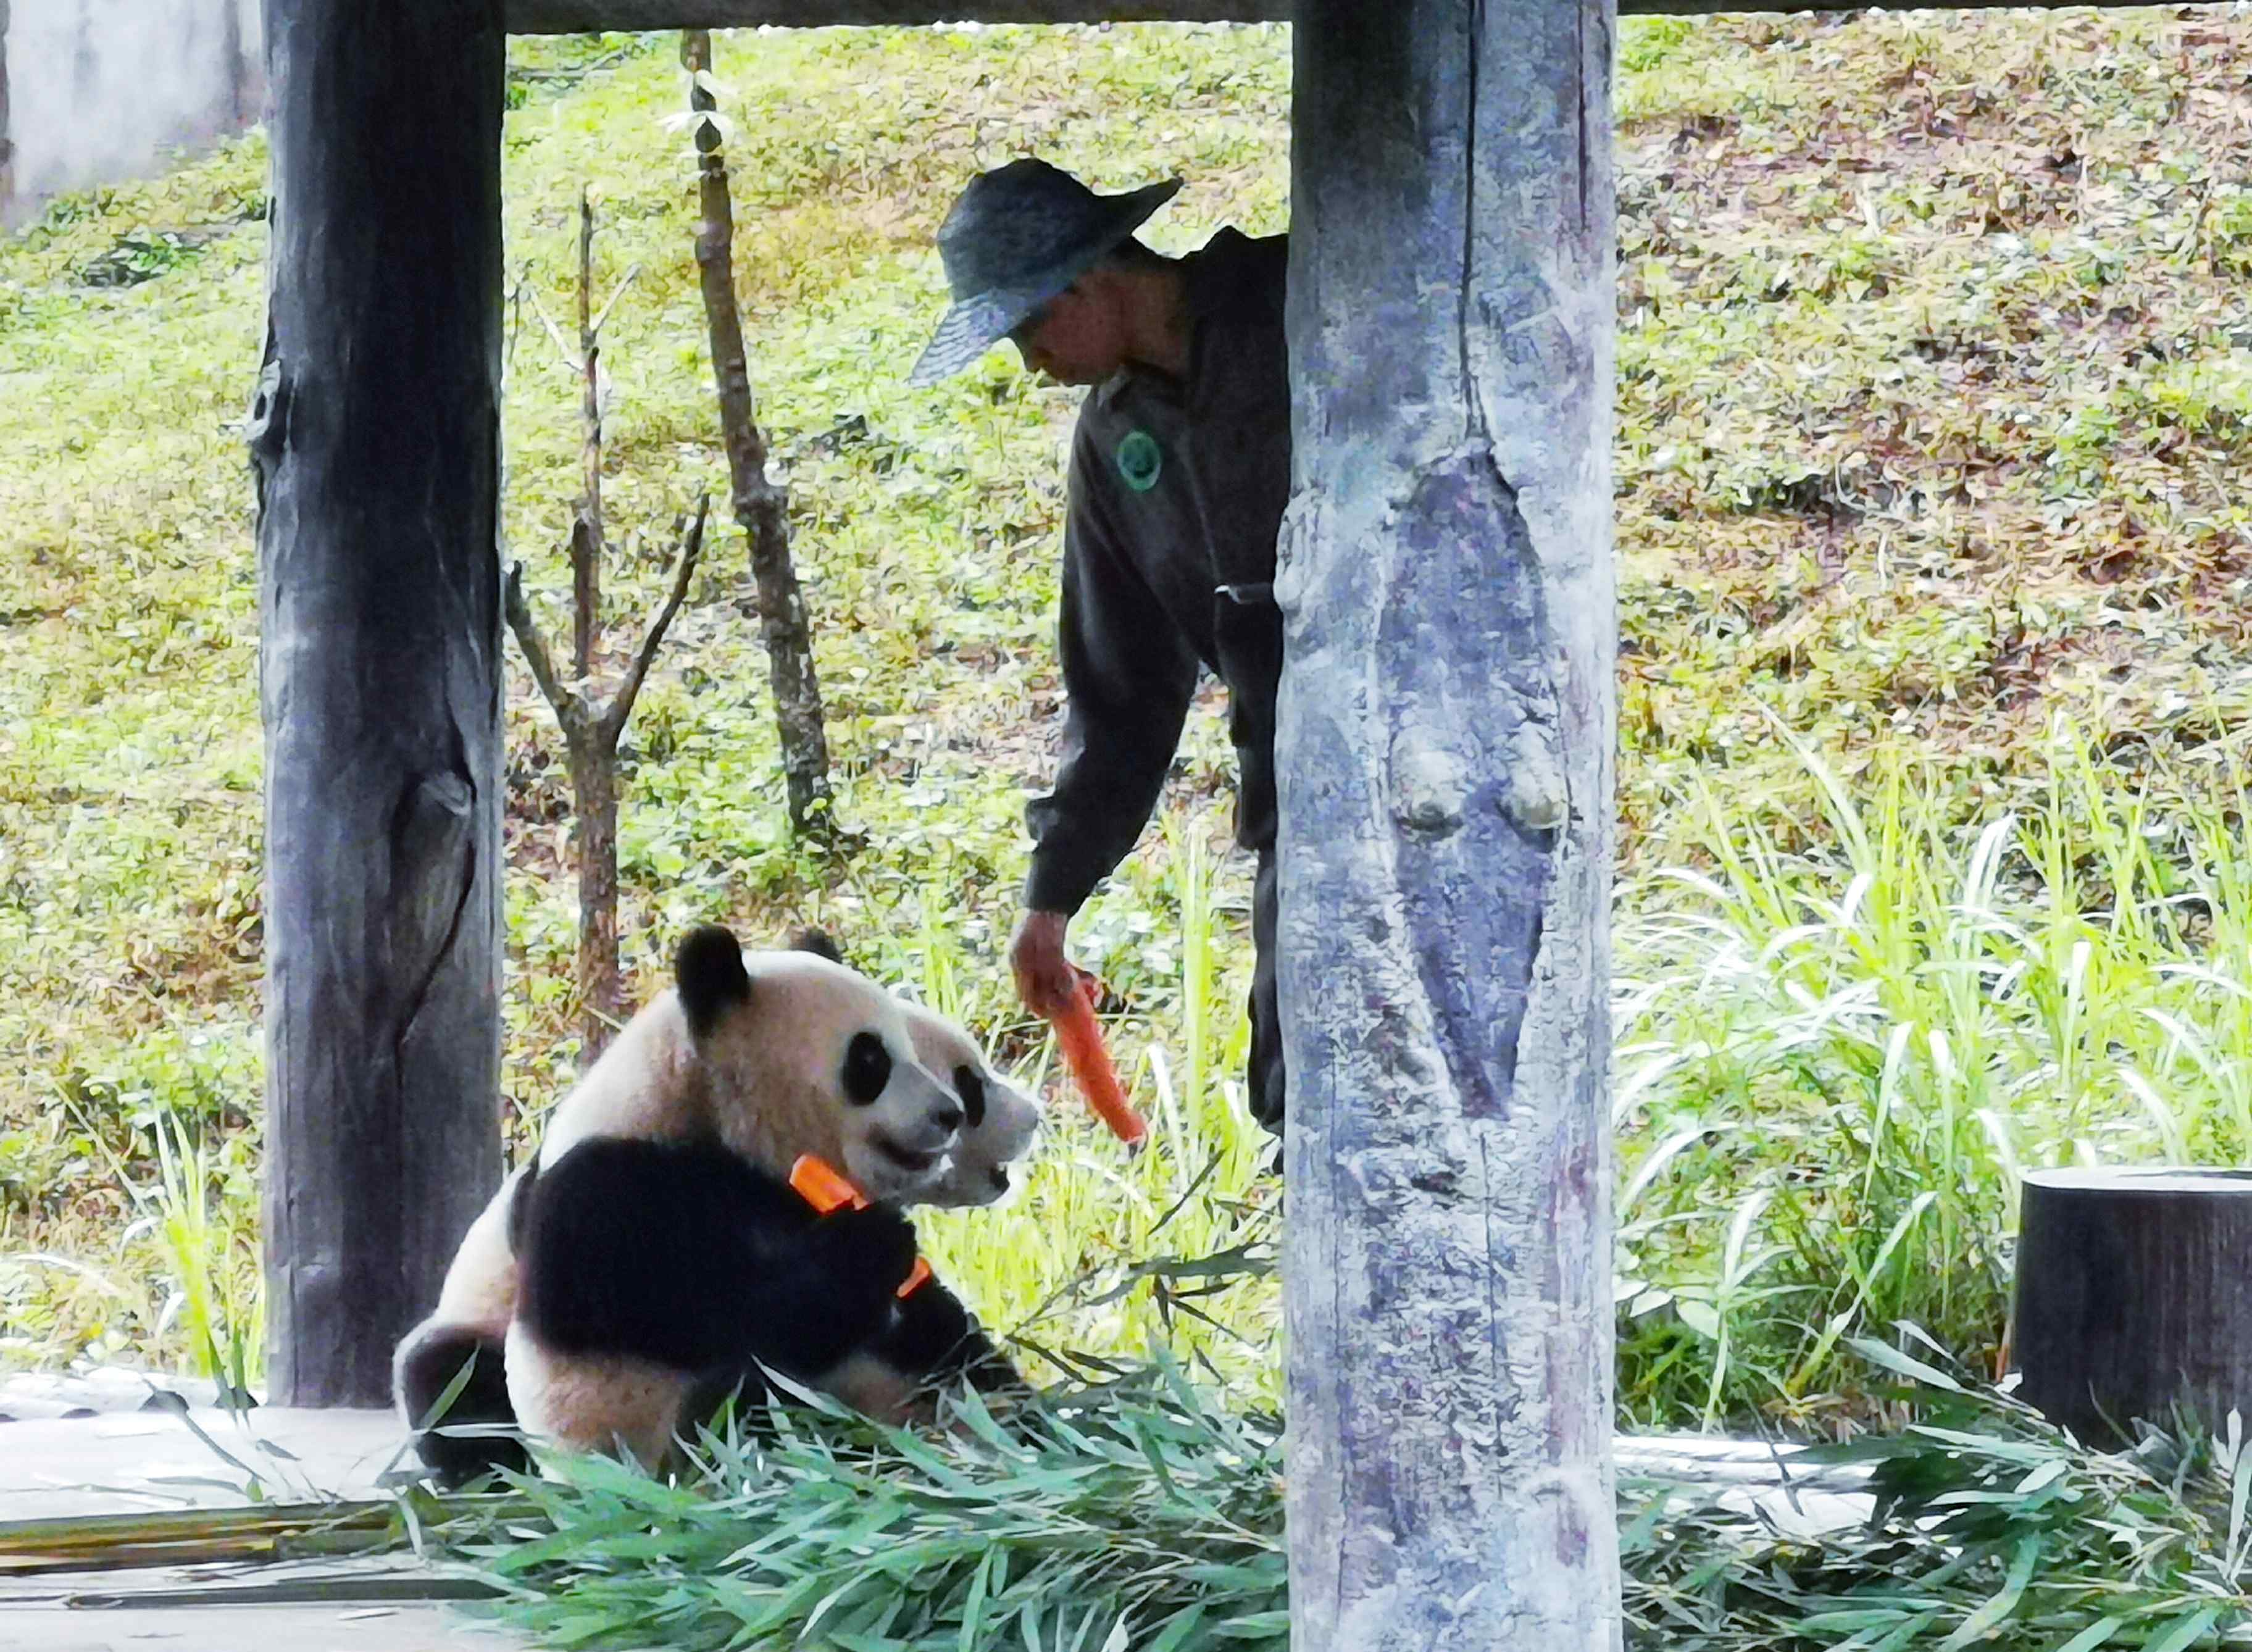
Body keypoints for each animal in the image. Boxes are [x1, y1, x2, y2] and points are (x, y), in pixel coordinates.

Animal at [394, 932, 1036, 1485]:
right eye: (871, 1060)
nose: (947, 1112)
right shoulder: (608, 1195)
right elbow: (711, 1318)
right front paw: (870, 1247)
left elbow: (935, 1323)